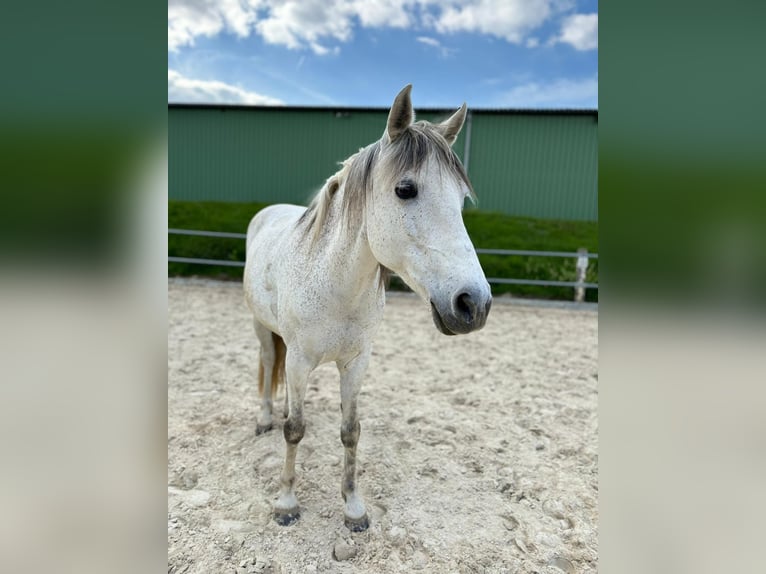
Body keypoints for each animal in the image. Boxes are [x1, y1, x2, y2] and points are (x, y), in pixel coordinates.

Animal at [244, 85, 492, 536]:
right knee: (270, 365)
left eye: (461, 199)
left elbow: (351, 432)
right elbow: (295, 430)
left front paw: (353, 508)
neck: (334, 285)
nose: (474, 303)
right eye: (405, 189)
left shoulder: (356, 363)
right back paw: (265, 418)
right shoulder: (301, 361)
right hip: (261, 328)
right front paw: (286, 503)